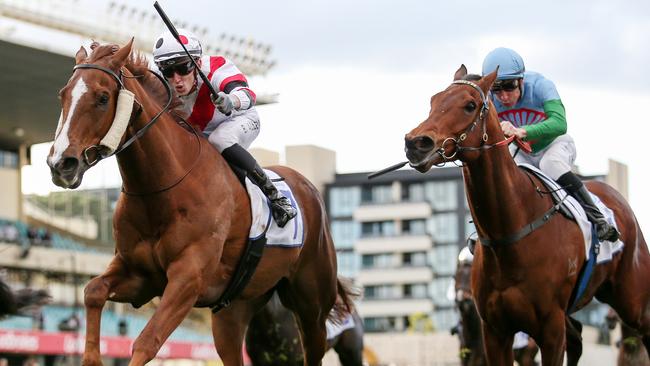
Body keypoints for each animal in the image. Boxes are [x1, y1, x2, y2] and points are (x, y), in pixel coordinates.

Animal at [46, 38, 352, 364]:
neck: (162, 190)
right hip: (236, 308)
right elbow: (92, 290)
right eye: (63, 94)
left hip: (312, 304)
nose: (60, 164)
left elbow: (147, 341)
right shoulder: (140, 275)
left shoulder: (188, 278)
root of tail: (308, 188)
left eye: (103, 98)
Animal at [402, 64, 644, 364]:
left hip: (633, 300)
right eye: (433, 101)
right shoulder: (495, 332)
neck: (510, 233)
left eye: (470, 105)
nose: (416, 143)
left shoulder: (550, 330)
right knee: (577, 340)